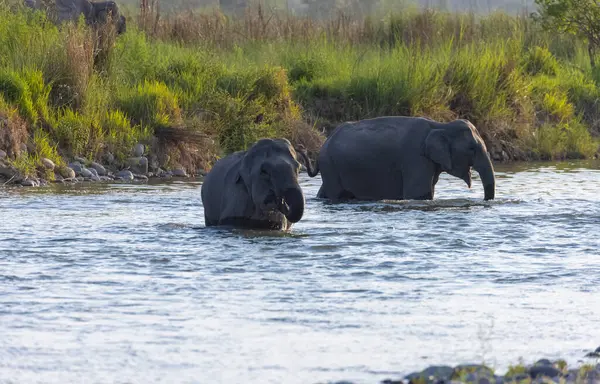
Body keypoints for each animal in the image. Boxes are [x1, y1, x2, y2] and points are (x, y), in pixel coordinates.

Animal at [296, 116, 496, 201]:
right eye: (472, 148)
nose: (485, 201)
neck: (440, 124)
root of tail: (323, 144)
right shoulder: (415, 159)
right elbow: (420, 194)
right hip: (331, 166)